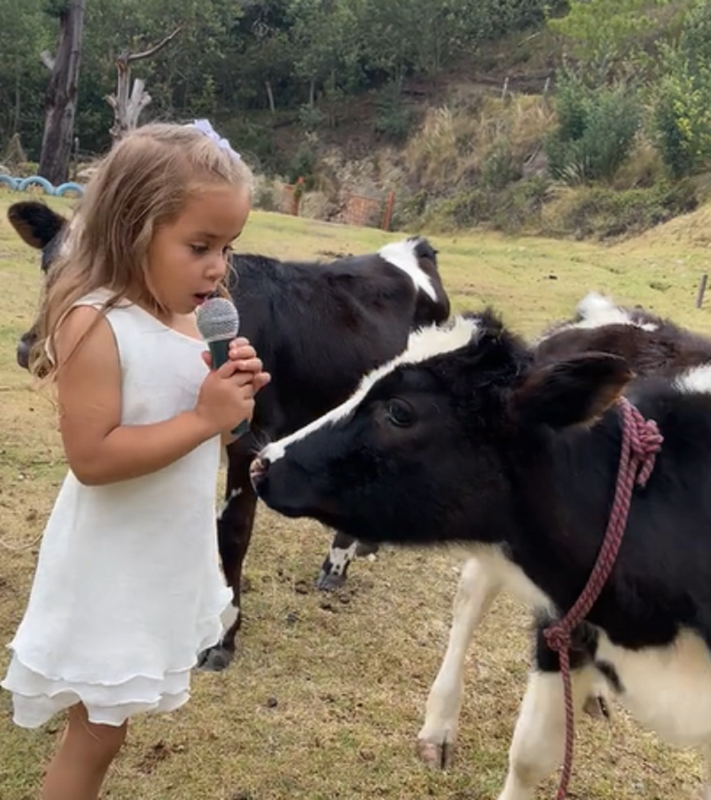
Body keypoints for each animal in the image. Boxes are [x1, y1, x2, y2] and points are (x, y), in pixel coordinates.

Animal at [6, 198, 450, 668]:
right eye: (47, 263)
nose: (32, 349)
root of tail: (415, 247)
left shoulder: (249, 438)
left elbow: (232, 533)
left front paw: (223, 637)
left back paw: (337, 564)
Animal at [254, 308, 711, 800]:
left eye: (400, 411)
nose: (263, 463)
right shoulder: (562, 624)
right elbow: (530, 756)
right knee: (469, 601)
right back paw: (438, 728)